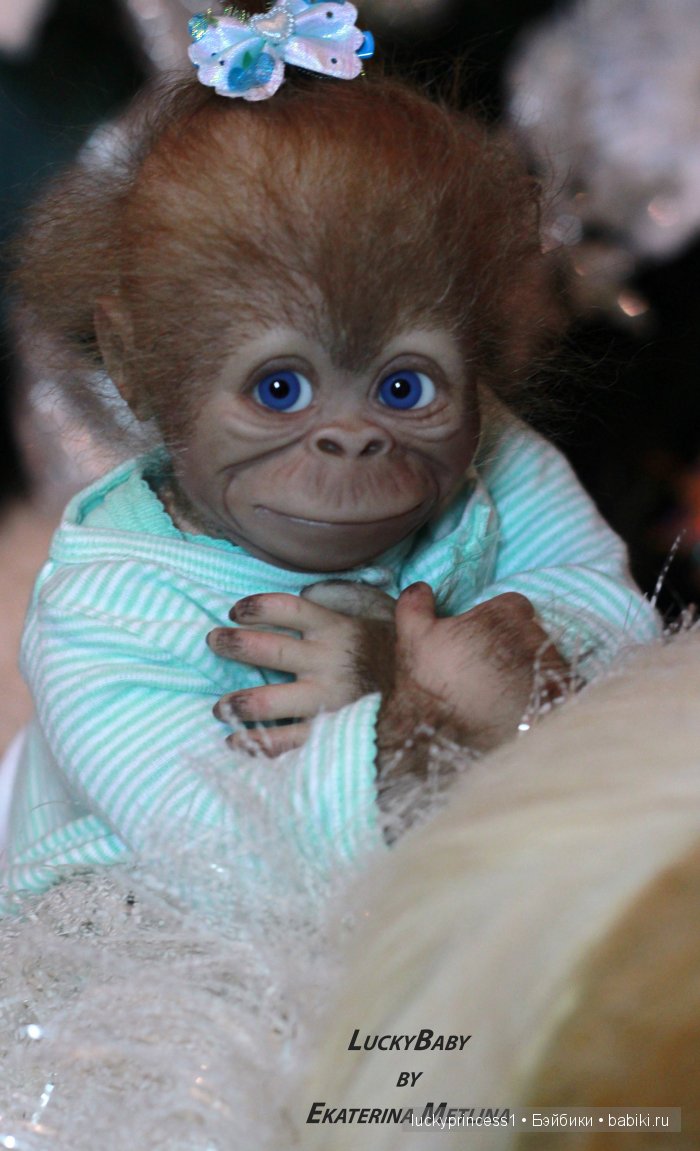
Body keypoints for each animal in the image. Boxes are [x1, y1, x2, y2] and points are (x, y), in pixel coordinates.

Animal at [0, 2, 660, 908]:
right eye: (281, 390)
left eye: (402, 390)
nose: (351, 442)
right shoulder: (93, 623)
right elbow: (242, 832)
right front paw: (382, 658)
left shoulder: (520, 451)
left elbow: (599, 590)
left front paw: (402, 655)